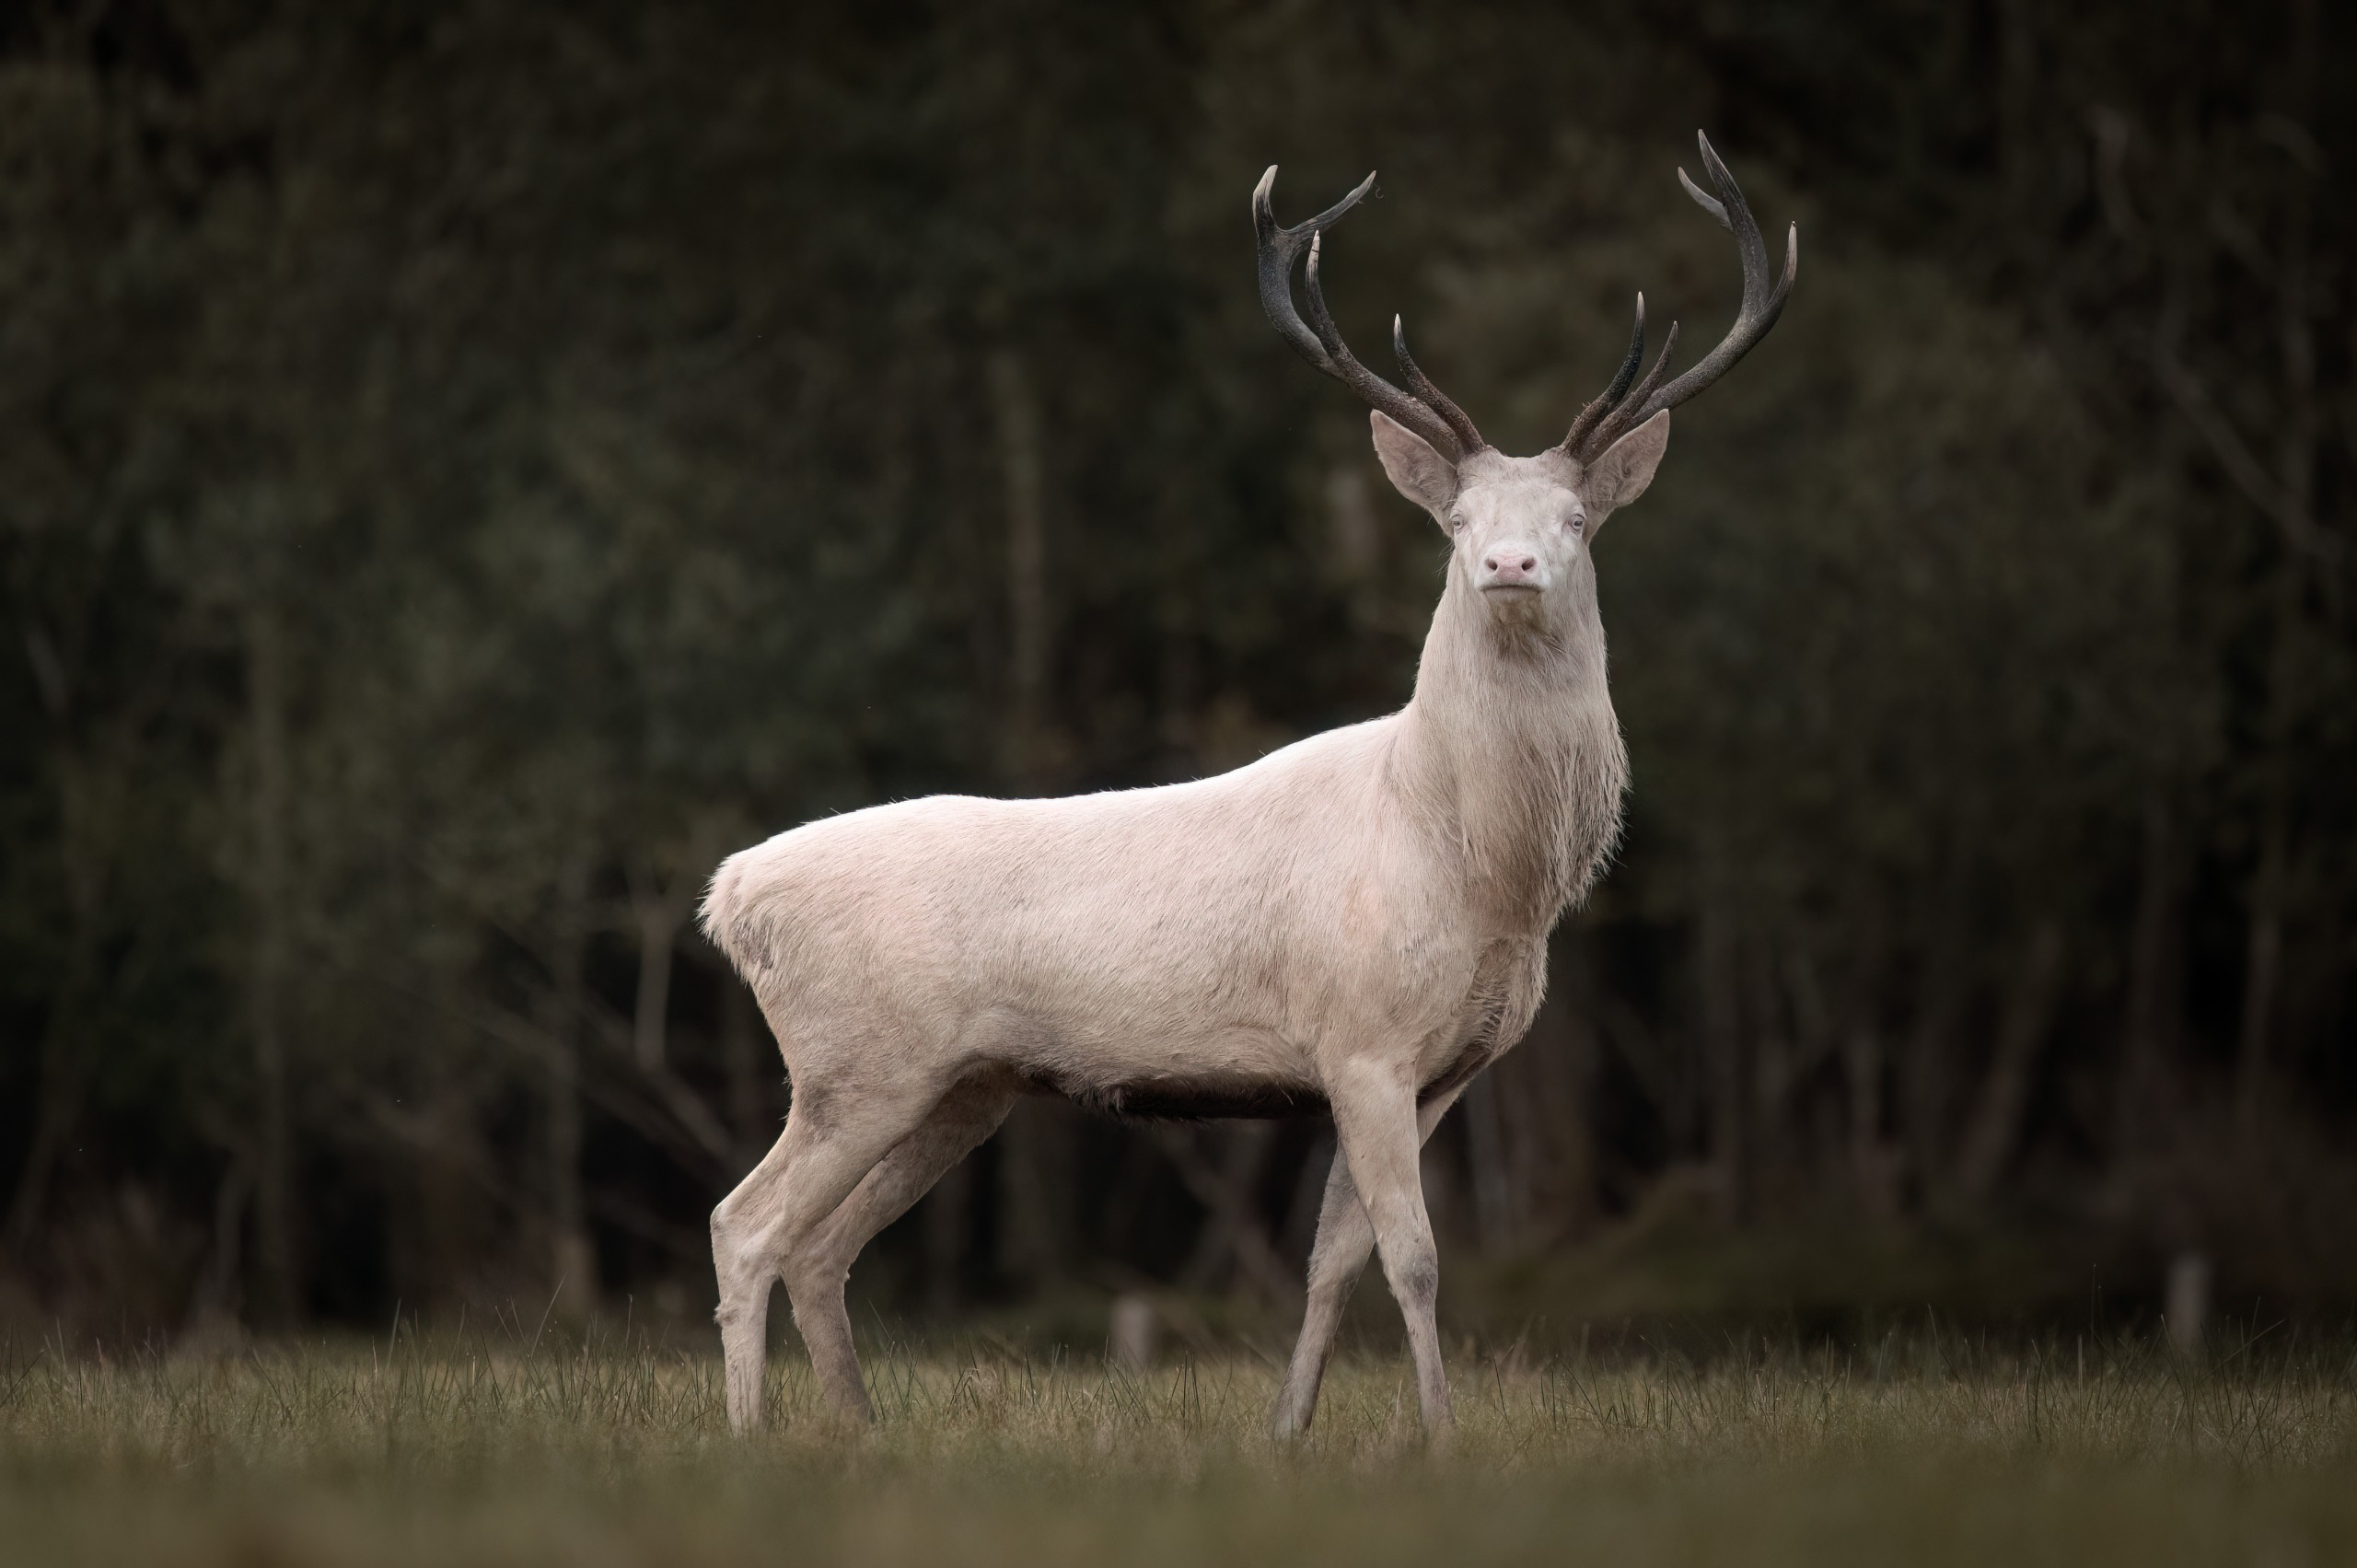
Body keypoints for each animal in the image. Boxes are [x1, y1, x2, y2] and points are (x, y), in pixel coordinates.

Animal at [701, 132, 1796, 1438]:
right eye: (1454, 518)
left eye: (1578, 517)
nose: (1508, 563)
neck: (1481, 868)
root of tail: (730, 898)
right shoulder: (1360, 1036)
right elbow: (1413, 1255)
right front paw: (1439, 1435)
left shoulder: (1435, 1068)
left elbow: (1336, 1259)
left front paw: (1290, 1429)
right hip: (856, 1059)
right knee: (745, 1223)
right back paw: (751, 1436)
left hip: (961, 1083)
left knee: (823, 1246)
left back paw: (858, 1434)